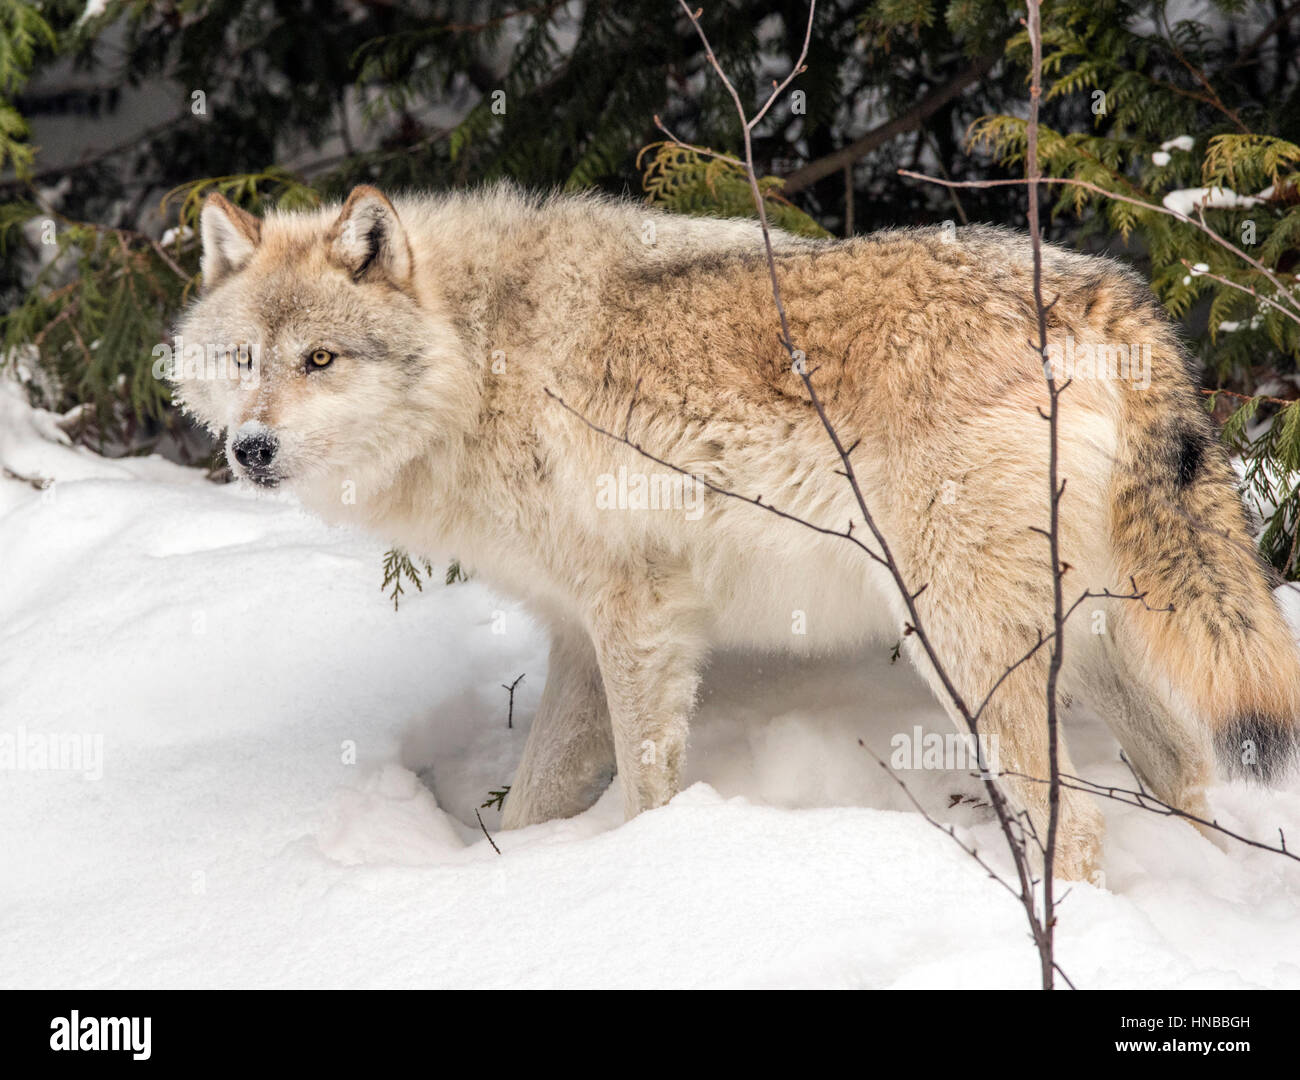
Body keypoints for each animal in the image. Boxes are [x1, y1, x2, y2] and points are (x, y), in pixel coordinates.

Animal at [173, 182, 1300, 881]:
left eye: (321, 360)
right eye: (243, 359)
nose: (251, 449)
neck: (483, 356)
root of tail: (1105, 293)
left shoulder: (638, 615)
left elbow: (645, 789)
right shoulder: (579, 633)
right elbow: (533, 806)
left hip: (964, 651)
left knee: (1081, 824)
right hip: (1075, 645)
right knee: (1181, 768)